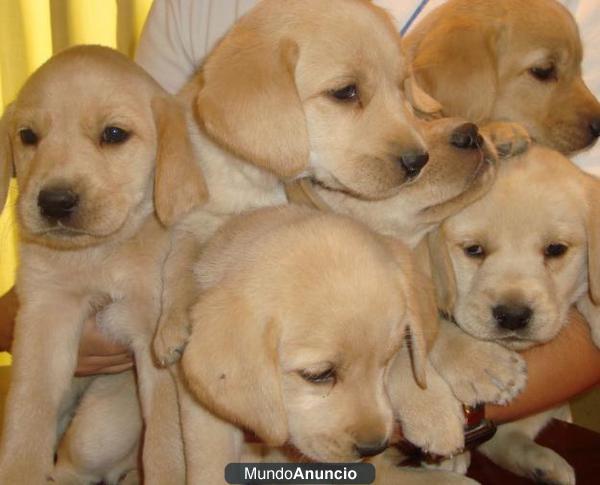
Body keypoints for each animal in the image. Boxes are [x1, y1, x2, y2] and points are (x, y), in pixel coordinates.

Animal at [0, 43, 207, 482]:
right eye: (27, 136)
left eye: (114, 135)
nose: (55, 202)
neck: (100, 253)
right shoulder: (44, 317)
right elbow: (27, 413)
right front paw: (19, 470)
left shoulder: (151, 338)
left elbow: (165, 446)